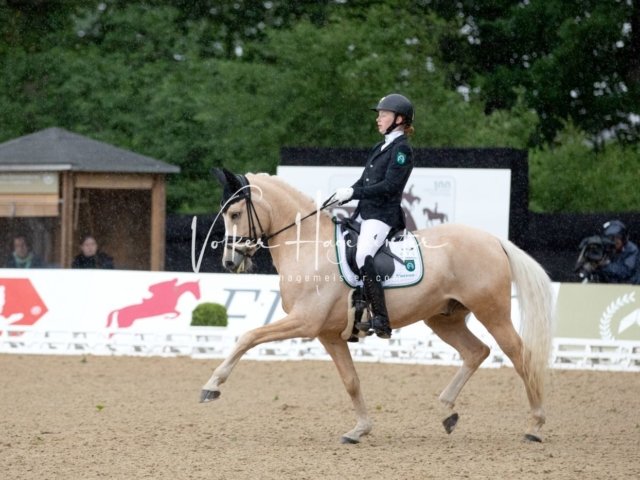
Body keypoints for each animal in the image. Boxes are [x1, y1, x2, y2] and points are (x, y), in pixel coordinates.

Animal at [200, 168, 554, 444]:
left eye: (235, 214)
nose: (229, 263)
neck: (309, 246)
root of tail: (494, 240)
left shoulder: (305, 321)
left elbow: (248, 337)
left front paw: (211, 387)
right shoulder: (329, 334)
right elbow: (351, 381)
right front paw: (359, 430)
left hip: (492, 312)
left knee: (520, 355)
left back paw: (535, 426)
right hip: (444, 318)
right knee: (476, 351)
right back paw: (447, 409)